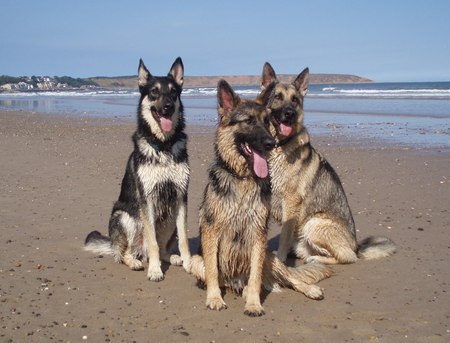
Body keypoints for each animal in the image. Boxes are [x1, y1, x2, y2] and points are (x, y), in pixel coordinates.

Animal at [83, 57, 191, 280]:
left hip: (168, 219)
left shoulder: (180, 197)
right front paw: (155, 270)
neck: (163, 146)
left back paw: (172, 257)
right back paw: (135, 261)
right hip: (125, 218)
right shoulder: (147, 199)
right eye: (154, 92)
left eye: (173, 92)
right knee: (125, 253)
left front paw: (188, 263)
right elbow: (152, 243)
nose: (168, 107)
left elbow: (183, 238)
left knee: (161, 247)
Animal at [188, 80, 332, 318]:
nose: (271, 143)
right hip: (194, 261)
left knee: (289, 279)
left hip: (270, 257)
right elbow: (213, 272)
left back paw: (309, 289)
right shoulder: (211, 231)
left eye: (267, 122)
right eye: (248, 121)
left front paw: (254, 304)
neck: (243, 178)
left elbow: (255, 276)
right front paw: (215, 298)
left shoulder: (258, 235)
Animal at [258, 62, 396, 266]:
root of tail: (357, 246)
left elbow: (283, 237)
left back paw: (316, 259)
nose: (290, 114)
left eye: (295, 100)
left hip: (313, 224)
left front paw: (280, 261)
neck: (278, 146)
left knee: (347, 257)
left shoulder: (290, 202)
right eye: (277, 97)